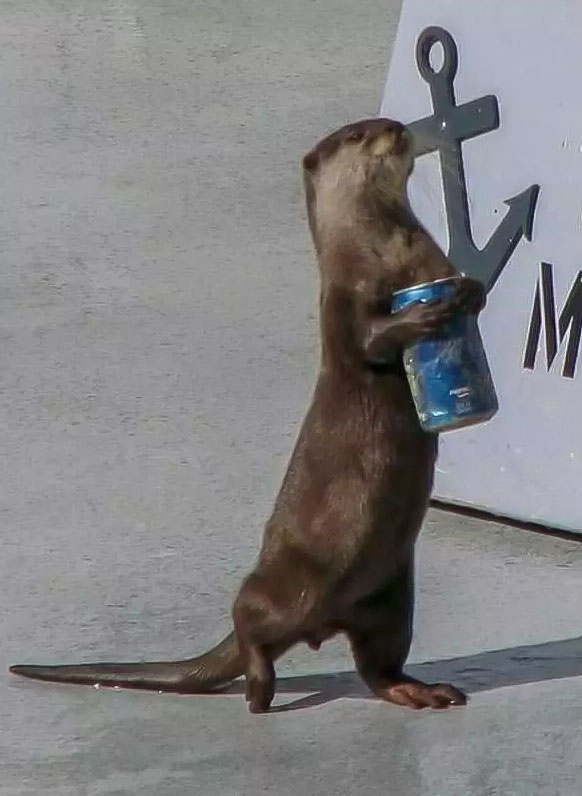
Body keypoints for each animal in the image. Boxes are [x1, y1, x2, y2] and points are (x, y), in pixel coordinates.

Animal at [9, 118, 486, 716]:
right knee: (248, 616)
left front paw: (470, 290)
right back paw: (259, 690)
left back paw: (420, 690)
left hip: (391, 597)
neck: (393, 257)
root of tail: (321, 621)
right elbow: (371, 339)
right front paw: (423, 314)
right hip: (292, 582)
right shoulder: (344, 302)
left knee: (378, 664)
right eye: (358, 134)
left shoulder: (432, 266)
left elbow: (466, 289)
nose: (396, 127)